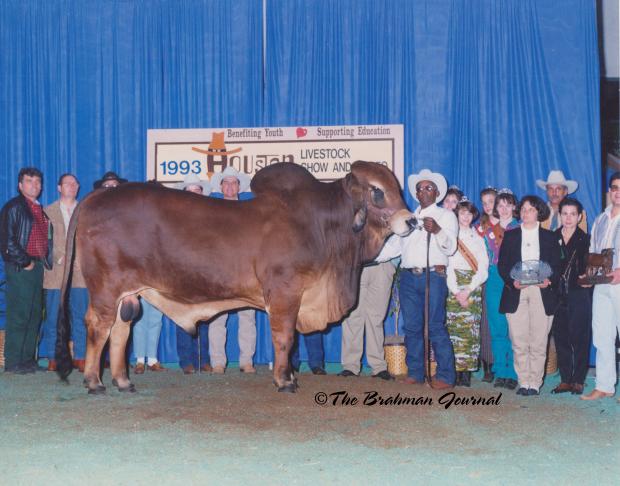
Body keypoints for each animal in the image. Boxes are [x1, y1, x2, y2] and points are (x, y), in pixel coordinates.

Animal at [57, 161, 412, 392]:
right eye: (377, 191)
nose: (410, 221)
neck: (324, 226)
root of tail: (97, 197)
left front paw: (289, 377)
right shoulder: (285, 293)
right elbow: (285, 338)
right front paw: (284, 380)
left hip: (128, 293)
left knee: (120, 329)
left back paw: (123, 381)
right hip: (105, 287)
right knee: (97, 326)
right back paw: (94, 382)